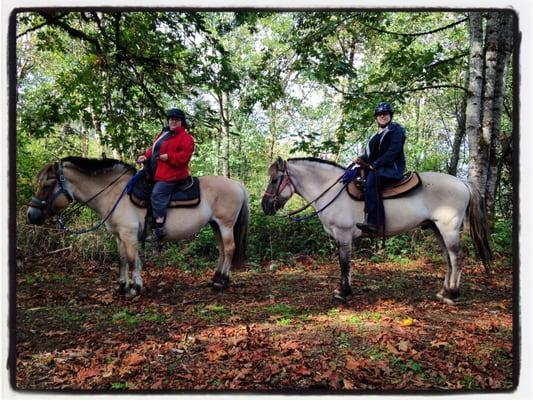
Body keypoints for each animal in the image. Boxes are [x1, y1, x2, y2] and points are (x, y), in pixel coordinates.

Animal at [26, 156, 248, 296]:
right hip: (215, 225)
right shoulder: (118, 236)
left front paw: (135, 288)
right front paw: (121, 286)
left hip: (226, 224)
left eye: (47, 185)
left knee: (229, 248)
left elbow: (133, 261)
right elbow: (122, 260)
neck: (115, 193)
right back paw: (216, 278)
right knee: (221, 250)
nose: (31, 215)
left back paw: (222, 282)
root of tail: (237, 184)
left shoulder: (129, 234)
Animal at [262, 158, 490, 304]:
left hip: (448, 228)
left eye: (274, 180)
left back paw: (452, 294)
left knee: (457, 257)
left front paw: (343, 293)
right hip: (436, 229)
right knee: (448, 258)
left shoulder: (344, 235)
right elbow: (348, 264)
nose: (265, 206)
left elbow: (344, 264)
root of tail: (462, 182)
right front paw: (345, 289)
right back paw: (444, 291)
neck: (333, 191)